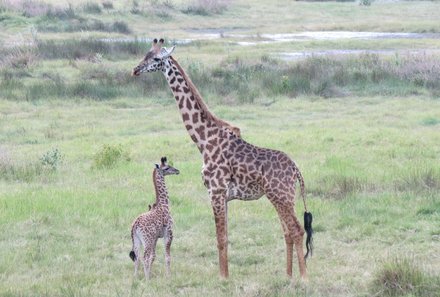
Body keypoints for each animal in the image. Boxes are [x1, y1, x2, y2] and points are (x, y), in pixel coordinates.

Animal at [131, 38, 312, 278]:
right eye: (145, 54)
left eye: (157, 58)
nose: (135, 70)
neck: (203, 141)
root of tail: (296, 170)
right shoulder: (224, 197)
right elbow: (225, 237)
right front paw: (225, 275)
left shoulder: (215, 192)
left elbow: (219, 238)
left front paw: (223, 278)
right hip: (283, 197)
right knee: (288, 232)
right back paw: (289, 275)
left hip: (280, 196)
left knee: (297, 230)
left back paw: (303, 278)